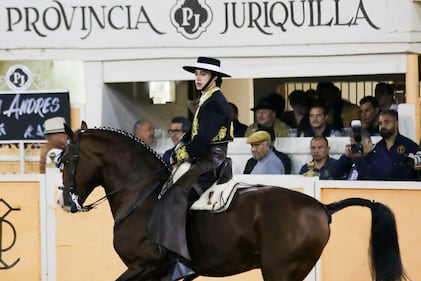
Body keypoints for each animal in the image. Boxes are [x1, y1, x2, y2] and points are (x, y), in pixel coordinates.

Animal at [58, 121, 406, 280]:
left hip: (279, 270)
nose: (65, 202)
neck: (143, 196)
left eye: (66, 159)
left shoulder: (146, 265)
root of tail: (320, 207)